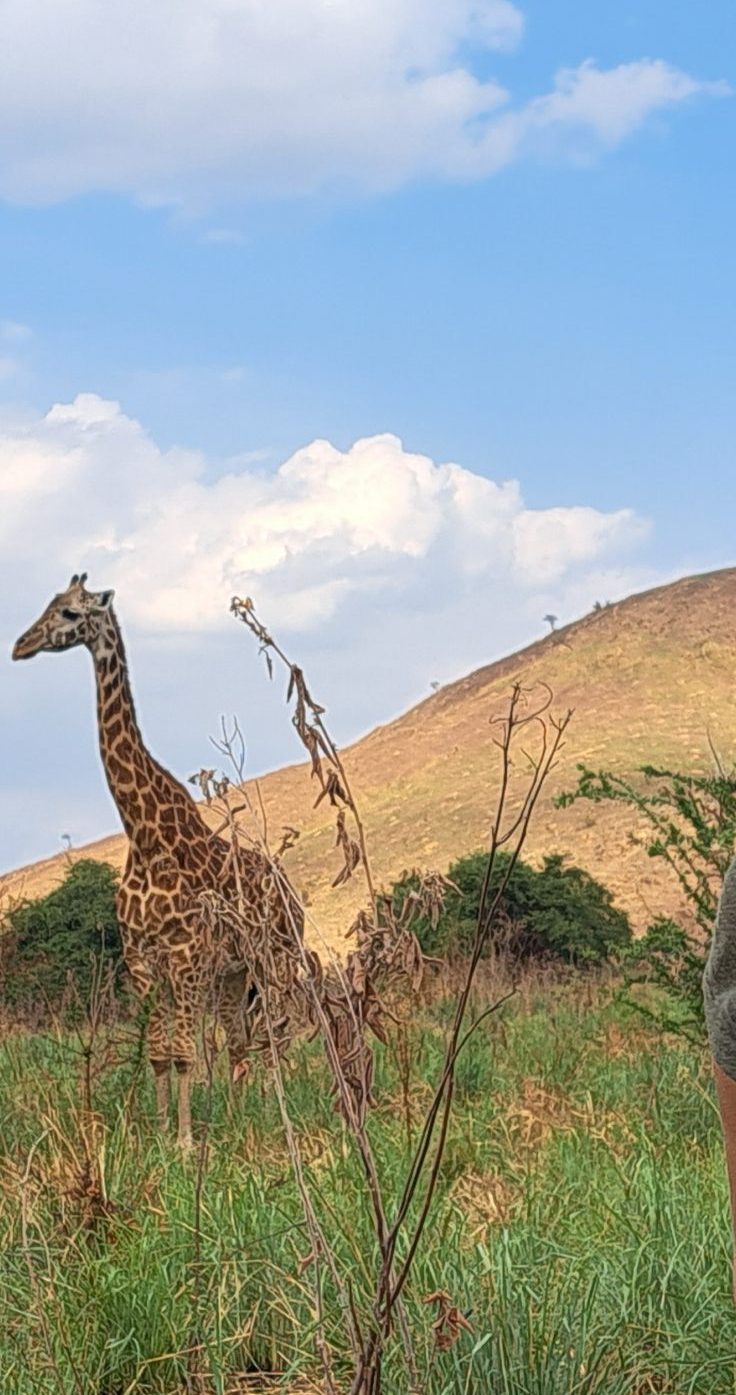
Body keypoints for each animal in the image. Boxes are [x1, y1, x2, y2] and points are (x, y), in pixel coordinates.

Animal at [12, 573, 303, 1148]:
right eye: (49, 604)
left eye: (72, 614)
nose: (20, 646)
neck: (144, 835)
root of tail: (295, 897)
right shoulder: (143, 960)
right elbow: (161, 1054)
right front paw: (160, 1132)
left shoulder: (185, 956)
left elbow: (186, 1054)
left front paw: (186, 1142)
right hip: (235, 974)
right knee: (240, 1039)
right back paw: (241, 1116)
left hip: (275, 959)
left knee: (277, 1033)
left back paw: (274, 1118)